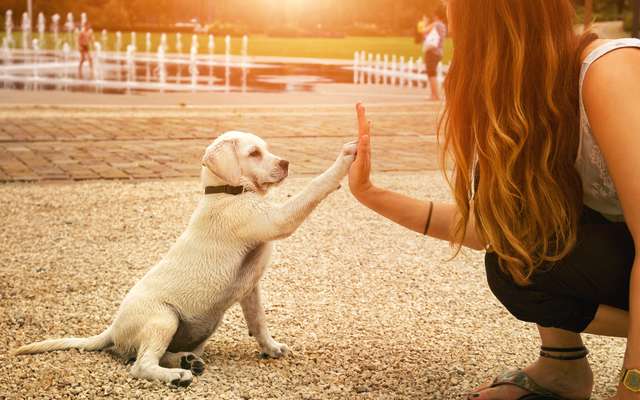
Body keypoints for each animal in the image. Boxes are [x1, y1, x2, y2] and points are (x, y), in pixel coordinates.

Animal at [15, 132, 358, 388]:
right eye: (254, 153)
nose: (286, 163)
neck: (226, 191)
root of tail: (112, 329)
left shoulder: (251, 288)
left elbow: (258, 321)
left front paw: (271, 348)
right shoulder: (278, 219)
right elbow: (314, 187)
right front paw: (345, 158)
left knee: (150, 355)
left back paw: (186, 362)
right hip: (163, 318)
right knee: (140, 365)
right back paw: (177, 375)